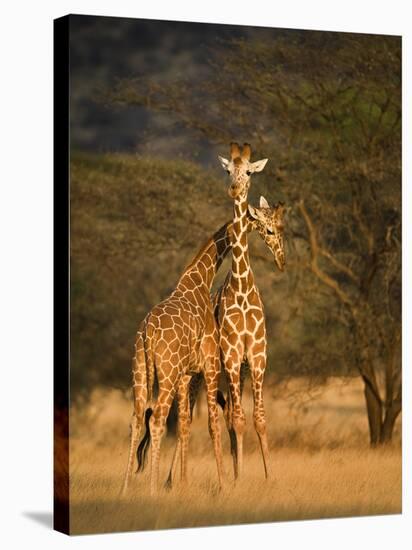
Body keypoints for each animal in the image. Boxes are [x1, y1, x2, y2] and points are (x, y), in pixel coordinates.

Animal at [165, 196, 286, 490]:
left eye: (283, 227)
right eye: (268, 229)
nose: (281, 260)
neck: (243, 292)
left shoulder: (255, 358)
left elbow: (257, 419)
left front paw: (266, 477)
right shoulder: (231, 357)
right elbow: (238, 420)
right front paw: (238, 479)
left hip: (235, 372)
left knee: (228, 414)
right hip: (199, 375)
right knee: (187, 418)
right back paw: (172, 480)